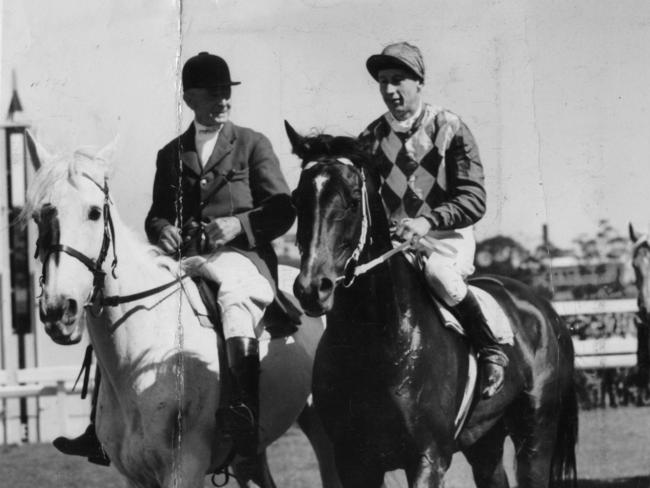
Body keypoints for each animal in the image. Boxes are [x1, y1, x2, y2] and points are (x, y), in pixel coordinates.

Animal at [25, 136, 340, 488]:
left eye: (94, 213)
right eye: (38, 216)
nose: (58, 309)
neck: (140, 357)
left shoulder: (185, 468)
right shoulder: (134, 476)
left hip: (322, 428)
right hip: (250, 453)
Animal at [286, 123, 576, 488]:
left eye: (352, 201)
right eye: (297, 199)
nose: (312, 288)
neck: (376, 343)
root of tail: (547, 312)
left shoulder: (428, 457)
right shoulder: (353, 461)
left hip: (536, 432)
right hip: (485, 438)